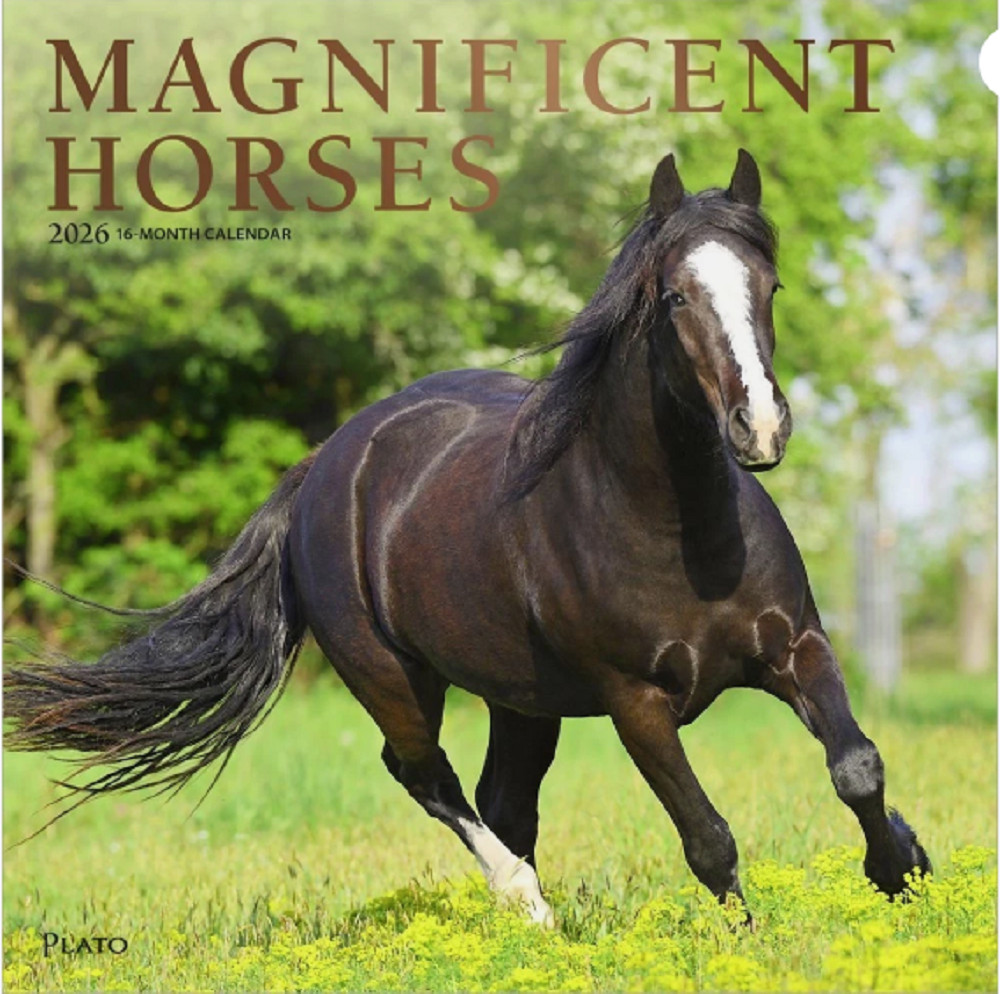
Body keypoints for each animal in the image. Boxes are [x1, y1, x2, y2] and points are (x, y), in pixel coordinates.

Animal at [5, 149, 929, 927]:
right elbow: (707, 837)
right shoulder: (635, 704)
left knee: (502, 796)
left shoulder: (797, 647)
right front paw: (747, 942)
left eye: (770, 287)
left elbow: (857, 764)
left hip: (521, 697)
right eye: (675, 296)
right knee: (429, 777)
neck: (674, 529)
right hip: (392, 678)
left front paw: (902, 870)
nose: (760, 429)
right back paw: (528, 905)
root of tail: (326, 463)